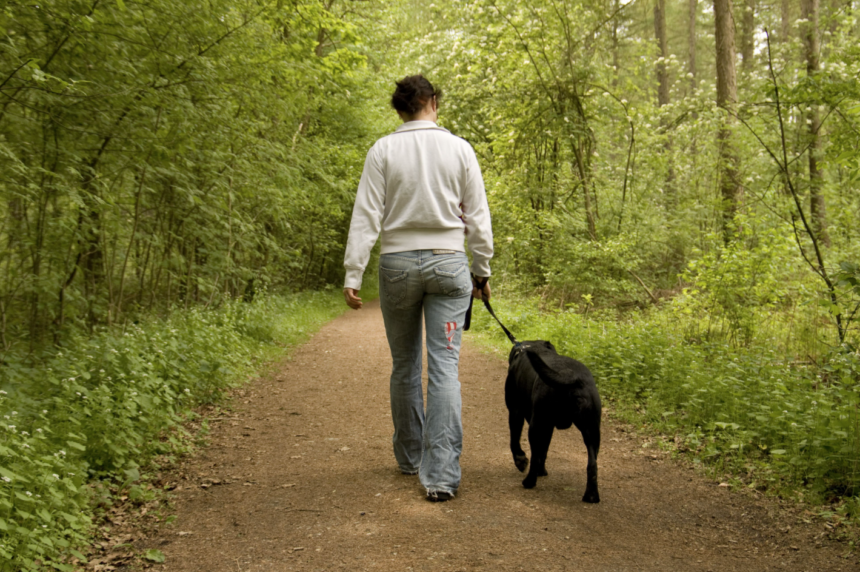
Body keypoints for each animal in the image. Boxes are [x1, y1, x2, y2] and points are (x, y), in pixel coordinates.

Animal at [508, 342, 600, 502]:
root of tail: (572, 377)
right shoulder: (548, 426)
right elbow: (544, 450)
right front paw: (542, 471)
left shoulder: (515, 411)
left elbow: (515, 441)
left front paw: (521, 461)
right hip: (592, 431)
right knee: (592, 464)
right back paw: (591, 495)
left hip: (536, 425)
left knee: (534, 456)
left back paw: (529, 482)